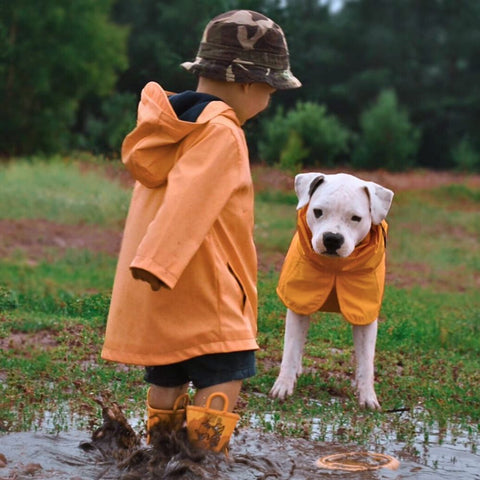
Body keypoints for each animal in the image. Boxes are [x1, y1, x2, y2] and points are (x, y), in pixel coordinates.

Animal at [270, 172, 394, 408]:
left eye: (356, 218)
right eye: (318, 212)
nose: (332, 238)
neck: (336, 267)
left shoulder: (365, 314)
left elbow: (366, 360)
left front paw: (368, 396)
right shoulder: (299, 304)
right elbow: (290, 349)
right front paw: (283, 385)